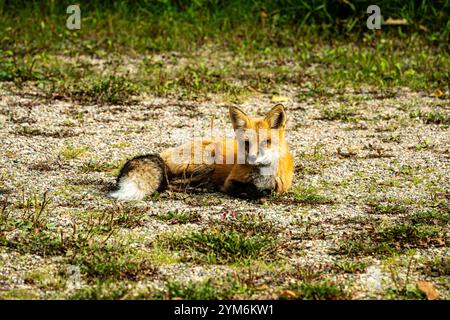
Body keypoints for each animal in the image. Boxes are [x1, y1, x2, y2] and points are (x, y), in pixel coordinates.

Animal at [110, 104, 294, 200]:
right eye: (246, 143)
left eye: (266, 142)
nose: (253, 158)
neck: (262, 175)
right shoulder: (230, 182)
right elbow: (248, 190)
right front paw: (253, 192)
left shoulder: (281, 187)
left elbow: (266, 191)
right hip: (205, 164)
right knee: (171, 182)